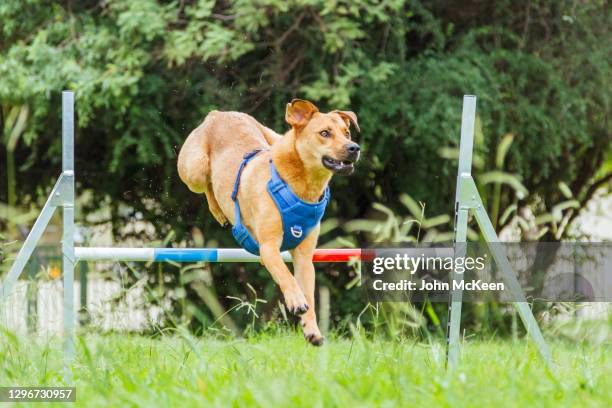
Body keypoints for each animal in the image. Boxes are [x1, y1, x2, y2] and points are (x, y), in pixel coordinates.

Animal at [177, 99, 358, 344]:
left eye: (347, 132)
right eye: (324, 133)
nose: (354, 148)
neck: (302, 187)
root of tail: (218, 114)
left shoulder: (304, 257)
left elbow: (309, 293)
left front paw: (312, 330)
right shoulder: (268, 247)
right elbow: (286, 275)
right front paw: (296, 301)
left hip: (272, 136)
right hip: (194, 168)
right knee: (206, 185)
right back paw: (218, 211)